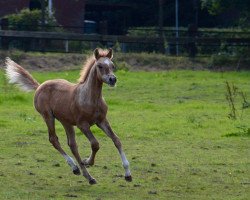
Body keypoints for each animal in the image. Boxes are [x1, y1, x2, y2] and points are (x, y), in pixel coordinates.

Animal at [4, 48, 132, 184]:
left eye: (112, 66)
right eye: (100, 66)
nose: (112, 79)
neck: (90, 98)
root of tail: (39, 86)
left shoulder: (102, 121)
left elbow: (116, 140)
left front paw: (128, 174)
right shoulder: (83, 125)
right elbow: (95, 144)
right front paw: (87, 161)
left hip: (66, 122)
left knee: (72, 145)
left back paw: (86, 175)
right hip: (48, 116)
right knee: (54, 139)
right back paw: (76, 167)